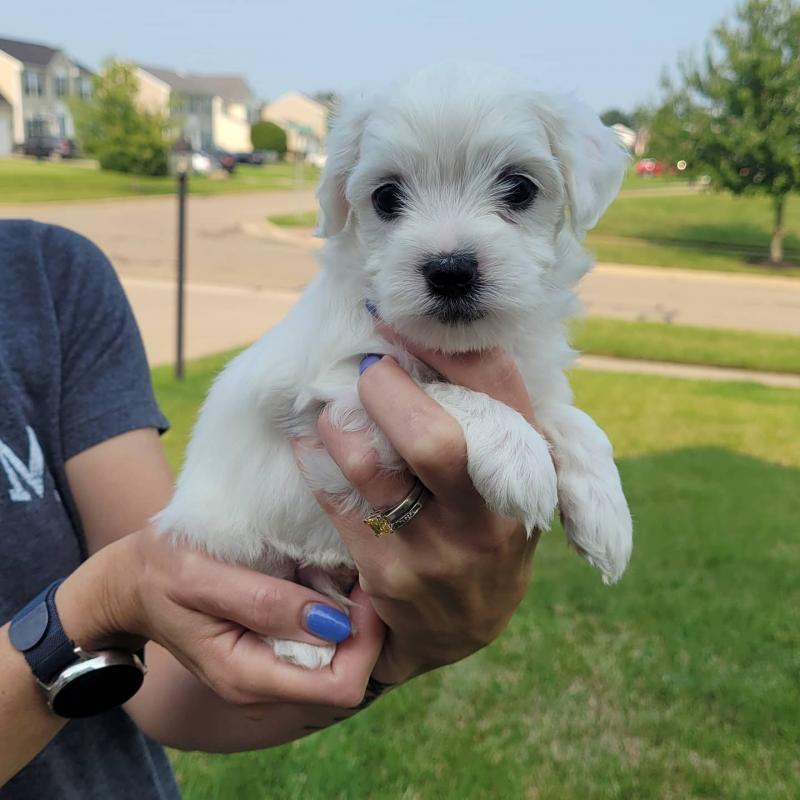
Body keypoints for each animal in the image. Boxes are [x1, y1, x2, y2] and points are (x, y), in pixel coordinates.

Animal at [155, 67, 632, 668]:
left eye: (519, 188)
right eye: (386, 197)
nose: (449, 270)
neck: (456, 345)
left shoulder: (532, 379)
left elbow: (573, 421)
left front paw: (607, 513)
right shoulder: (335, 389)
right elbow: (440, 393)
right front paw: (519, 457)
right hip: (230, 541)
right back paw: (300, 639)